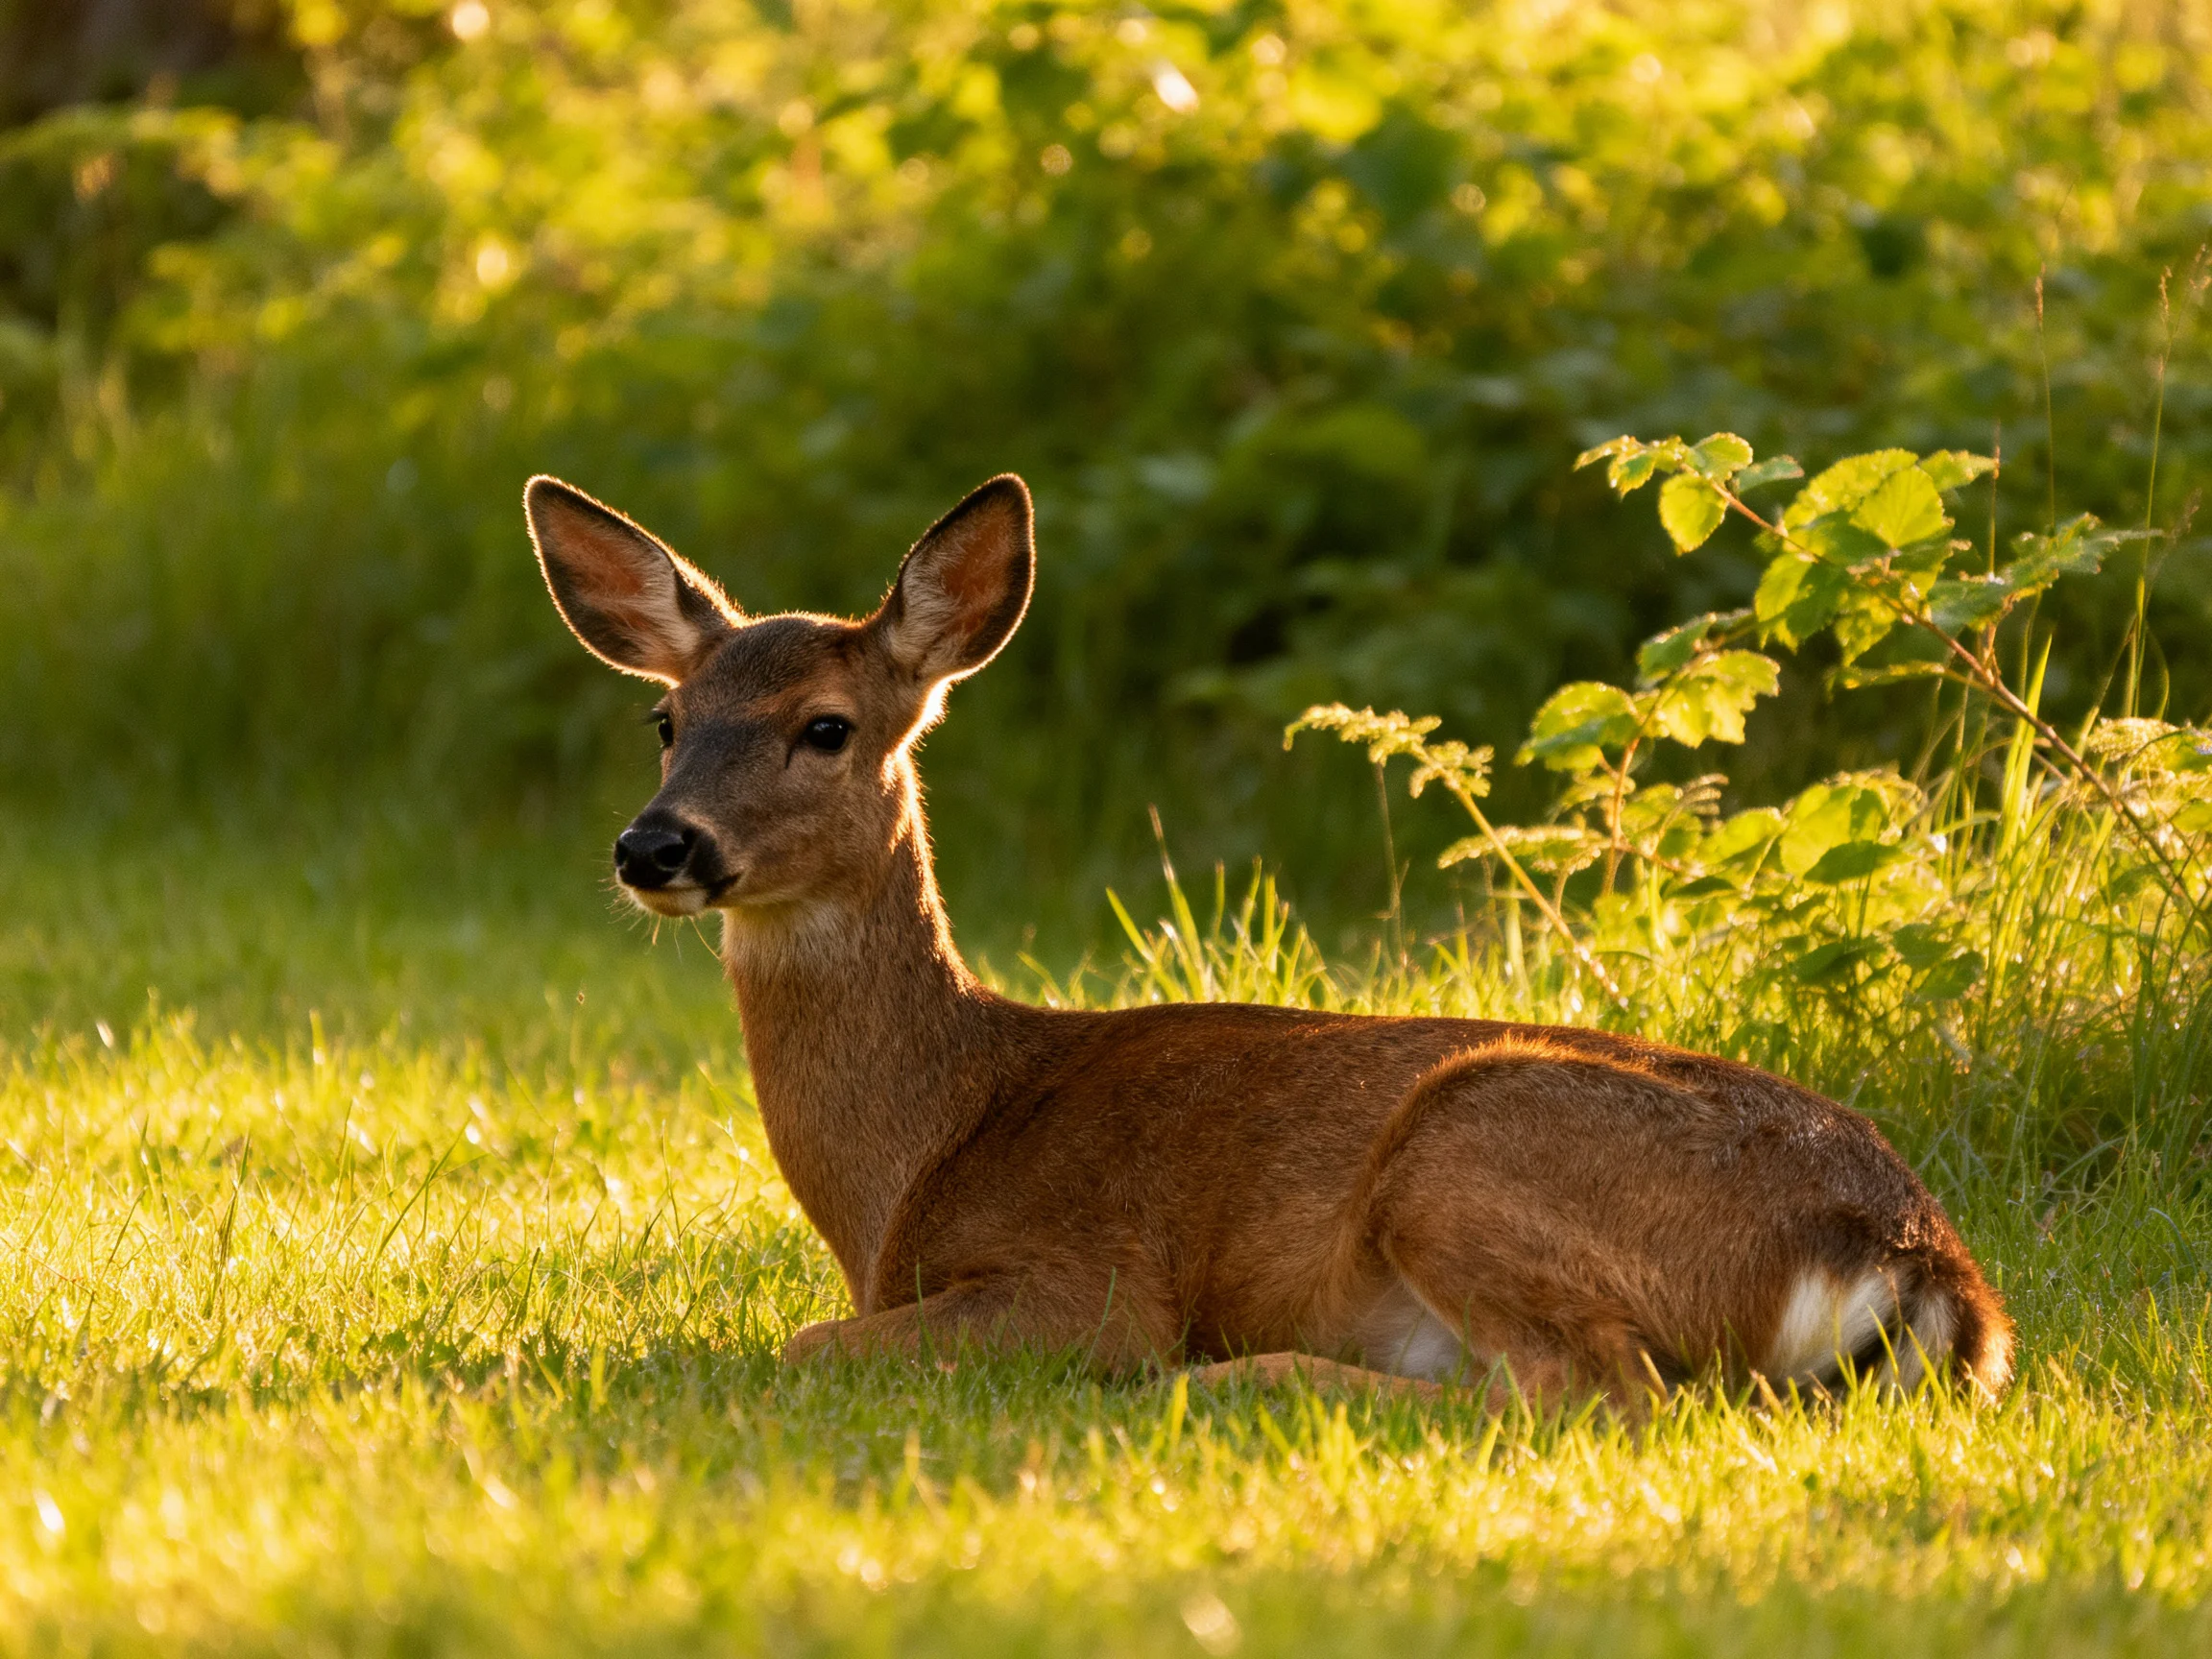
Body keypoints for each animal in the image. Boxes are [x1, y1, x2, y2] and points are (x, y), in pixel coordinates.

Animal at [525, 470, 2015, 1412]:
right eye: (667, 721)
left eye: (825, 726)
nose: (656, 847)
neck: (928, 1143)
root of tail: (1919, 1264)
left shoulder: (1083, 1280)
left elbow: (803, 1342)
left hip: (1468, 1143)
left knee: (1598, 1392)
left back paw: (1239, 1379)